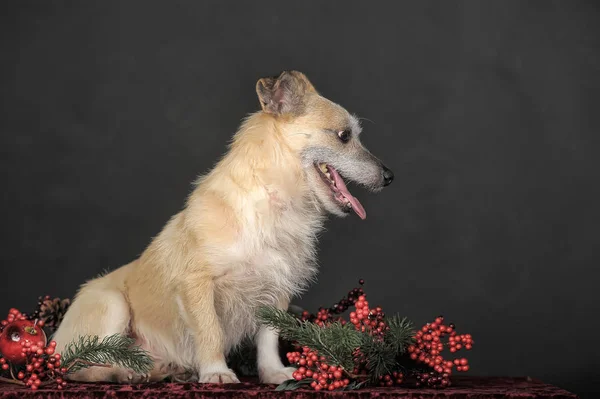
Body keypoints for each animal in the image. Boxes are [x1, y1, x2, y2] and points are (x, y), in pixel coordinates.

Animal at [52, 71, 394, 384]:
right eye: (344, 136)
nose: (390, 176)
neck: (272, 204)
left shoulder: (275, 291)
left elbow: (268, 338)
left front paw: (273, 373)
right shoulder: (197, 286)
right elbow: (210, 332)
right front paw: (216, 372)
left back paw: (162, 369)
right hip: (112, 305)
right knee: (76, 366)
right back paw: (122, 373)